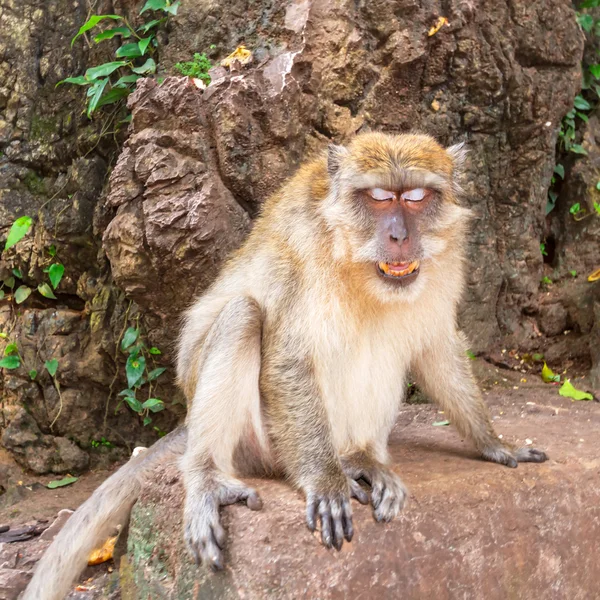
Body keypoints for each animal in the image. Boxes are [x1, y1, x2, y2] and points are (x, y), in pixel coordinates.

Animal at [22, 132, 548, 600]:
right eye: (379, 198)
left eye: (416, 198)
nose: (399, 235)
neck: (354, 262)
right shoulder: (304, 252)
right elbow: (289, 356)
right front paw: (324, 481)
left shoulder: (446, 263)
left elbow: (436, 347)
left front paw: (493, 444)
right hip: (261, 443)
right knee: (242, 316)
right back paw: (211, 477)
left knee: (387, 339)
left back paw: (360, 459)